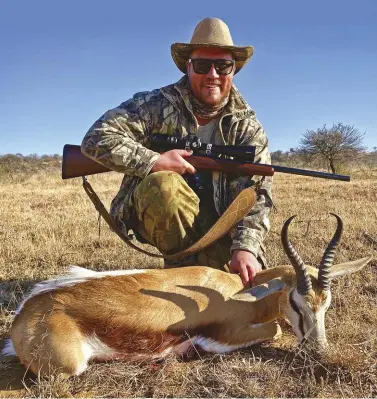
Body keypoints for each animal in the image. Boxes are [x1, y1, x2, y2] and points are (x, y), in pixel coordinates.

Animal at [0, 216, 370, 378]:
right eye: (295, 301)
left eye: (327, 303)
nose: (319, 349)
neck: (237, 289)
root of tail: (25, 313)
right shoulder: (223, 334)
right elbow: (276, 329)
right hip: (71, 366)